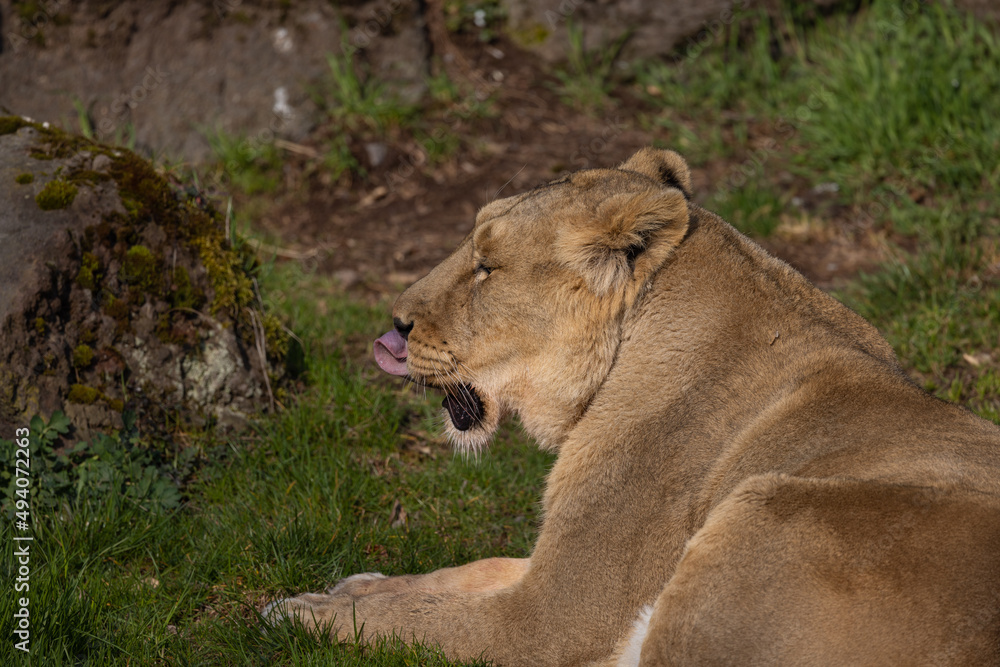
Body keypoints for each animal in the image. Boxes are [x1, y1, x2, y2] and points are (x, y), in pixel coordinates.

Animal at [264, 148, 1000, 666]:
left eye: (487, 268)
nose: (395, 324)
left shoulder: (550, 620)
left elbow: (421, 622)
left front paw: (297, 612)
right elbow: (466, 571)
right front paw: (353, 585)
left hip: (766, 506)